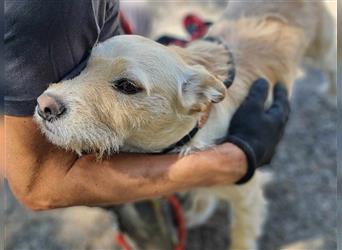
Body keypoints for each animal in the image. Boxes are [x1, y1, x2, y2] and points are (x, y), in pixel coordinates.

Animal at [34, 0, 334, 249]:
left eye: (128, 86)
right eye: (85, 65)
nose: (44, 106)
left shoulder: (247, 198)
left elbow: (241, 237)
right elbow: (203, 192)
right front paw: (199, 210)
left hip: (323, 48)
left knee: (332, 67)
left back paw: (331, 94)